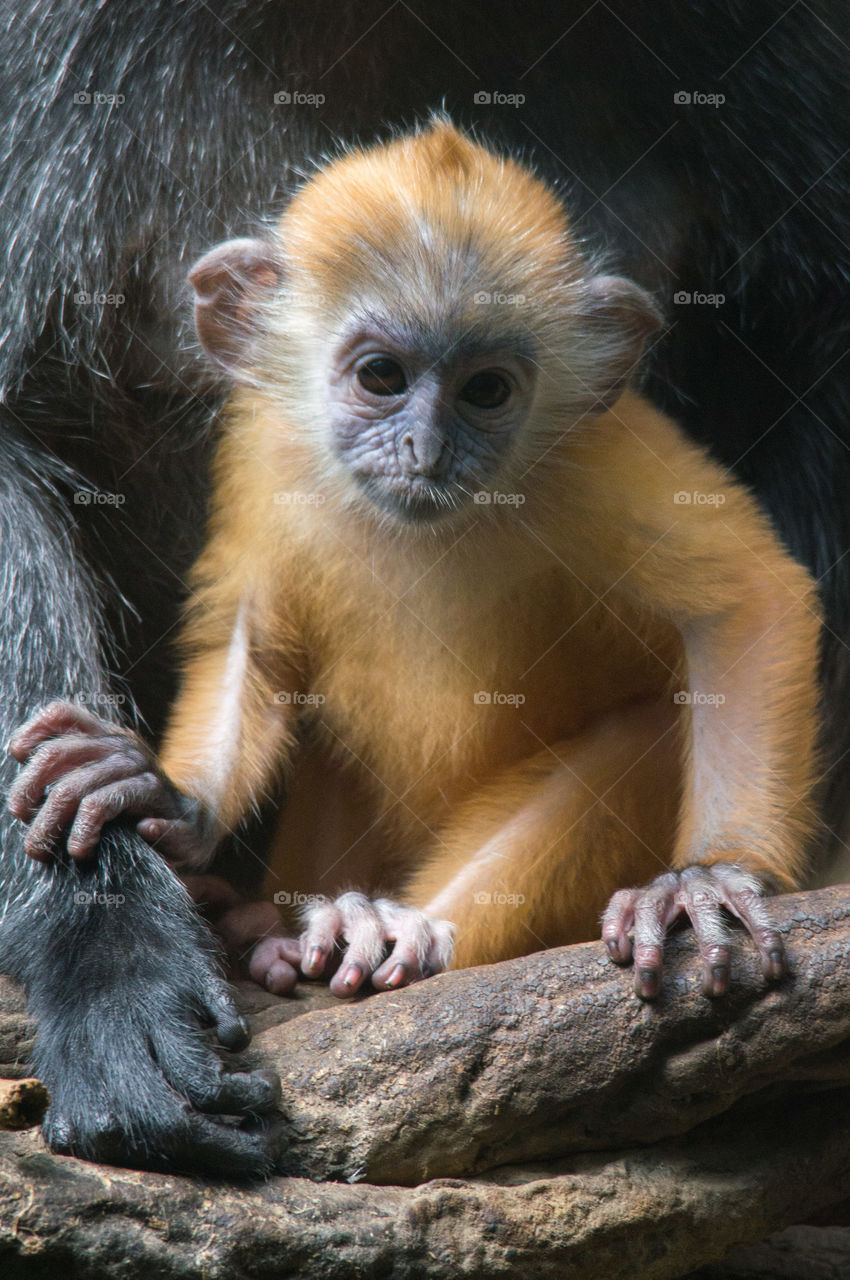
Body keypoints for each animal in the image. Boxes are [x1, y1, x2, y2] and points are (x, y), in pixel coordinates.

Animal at [2, 0, 849, 1174]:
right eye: (380, 377)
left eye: (487, 389)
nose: (426, 448)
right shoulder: (267, 449)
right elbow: (251, 627)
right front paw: (135, 889)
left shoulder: (602, 461)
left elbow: (749, 592)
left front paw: (716, 877)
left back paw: (399, 926)